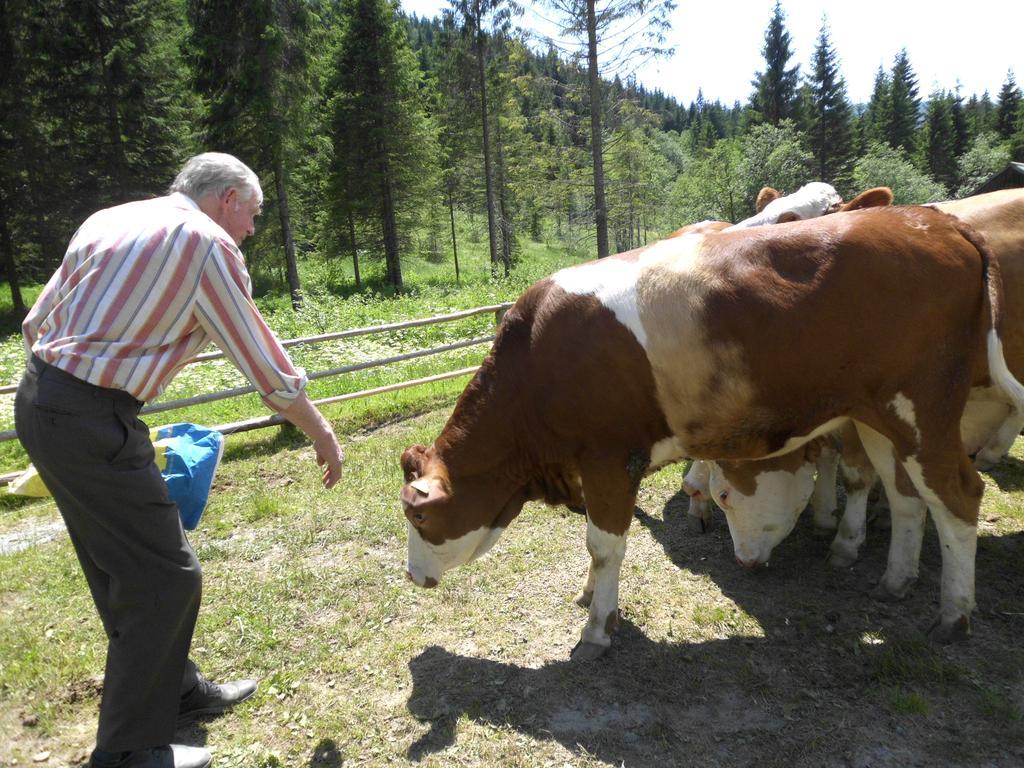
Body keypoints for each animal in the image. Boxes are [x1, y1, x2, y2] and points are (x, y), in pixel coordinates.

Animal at [399, 202, 1024, 655]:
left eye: (420, 516)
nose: (412, 577)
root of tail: (934, 219)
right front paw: (591, 598)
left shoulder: (609, 459)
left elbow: (604, 546)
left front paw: (598, 628)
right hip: (881, 416)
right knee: (905, 496)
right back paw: (895, 580)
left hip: (925, 412)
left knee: (958, 496)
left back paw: (953, 615)